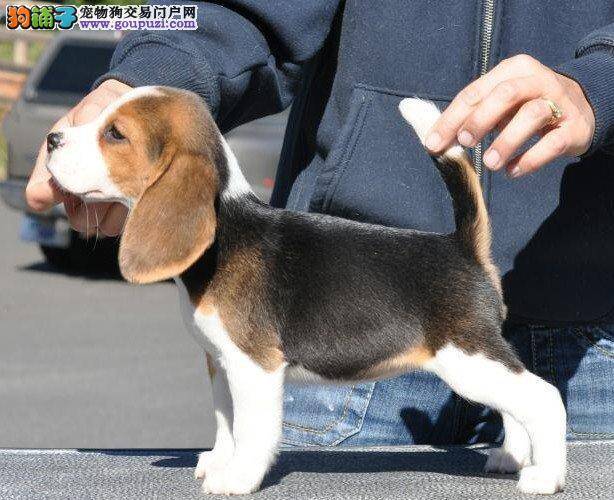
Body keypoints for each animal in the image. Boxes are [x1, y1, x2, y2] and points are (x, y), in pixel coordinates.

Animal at [45, 87, 572, 496]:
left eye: (115, 134)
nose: (52, 138)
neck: (224, 232)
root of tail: (462, 246)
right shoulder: (219, 362)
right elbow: (225, 422)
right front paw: (218, 461)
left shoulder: (255, 367)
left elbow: (252, 431)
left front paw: (237, 478)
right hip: (479, 361)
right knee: (517, 403)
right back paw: (510, 458)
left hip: (467, 357)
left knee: (543, 397)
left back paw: (543, 476)